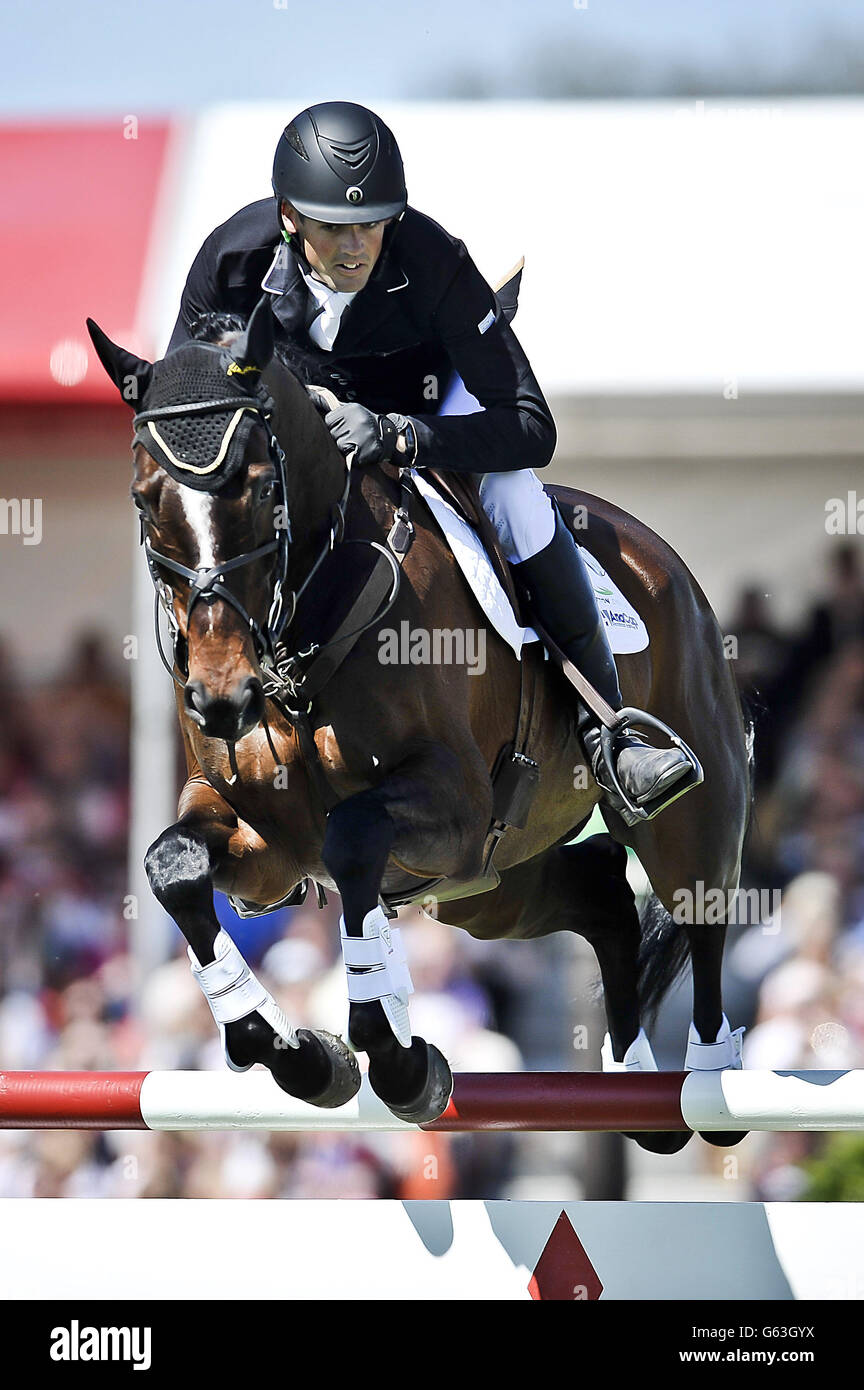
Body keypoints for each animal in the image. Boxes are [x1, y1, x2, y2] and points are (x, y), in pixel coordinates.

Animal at [88, 298, 750, 1156]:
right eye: (145, 499)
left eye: (262, 489)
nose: (220, 696)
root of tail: (660, 558)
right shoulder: (266, 840)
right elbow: (173, 866)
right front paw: (299, 1056)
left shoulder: (454, 806)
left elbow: (353, 836)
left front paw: (399, 1060)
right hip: (486, 886)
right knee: (601, 894)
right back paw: (636, 1082)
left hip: (674, 815)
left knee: (699, 910)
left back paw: (710, 1085)